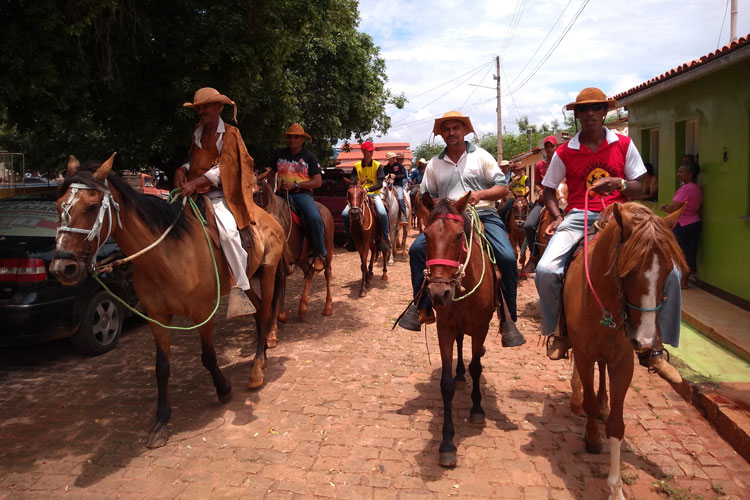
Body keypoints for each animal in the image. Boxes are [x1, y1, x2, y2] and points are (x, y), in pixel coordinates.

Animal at [50, 153, 284, 450]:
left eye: (92, 206)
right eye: (58, 205)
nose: (62, 267)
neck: (166, 255)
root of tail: (266, 216)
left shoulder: (202, 312)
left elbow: (208, 356)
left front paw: (223, 389)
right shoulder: (158, 318)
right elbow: (161, 368)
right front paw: (161, 421)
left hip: (267, 271)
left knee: (265, 312)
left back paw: (256, 369)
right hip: (244, 282)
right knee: (256, 311)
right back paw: (260, 357)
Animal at [254, 176, 334, 328]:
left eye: (255, 193)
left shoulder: (279, 263)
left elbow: (277, 291)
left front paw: (275, 325)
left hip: (328, 250)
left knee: (327, 273)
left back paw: (328, 307)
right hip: (301, 257)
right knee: (310, 273)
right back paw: (302, 310)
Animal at [424, 191, 500, 468]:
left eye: (458, 236)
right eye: (426, 235)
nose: (438, 293)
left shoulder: (481, 327)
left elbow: (476, 367)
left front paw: (477, 409)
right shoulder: (444, 328)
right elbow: (445, 383)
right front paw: (447, 443)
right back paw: (459, 375)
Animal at [564, 202, 688, 500]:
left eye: (668, 271)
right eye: (627, 272)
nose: (644, 341)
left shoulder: (622, 362)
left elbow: (617, 425)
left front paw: (616, 487)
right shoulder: (584, 355)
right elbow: (587, 399)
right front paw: (592, 437)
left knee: (602, 373)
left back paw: (604, 404)